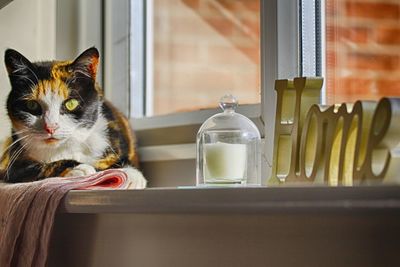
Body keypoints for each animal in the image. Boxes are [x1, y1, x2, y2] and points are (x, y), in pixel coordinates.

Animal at [0, 47, 147, 189]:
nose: (50, 127)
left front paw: (132, 174)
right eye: (32, 105)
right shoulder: (14, 166)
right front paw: (80, 168)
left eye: (71, 104)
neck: (64, 149)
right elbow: (41, 167)